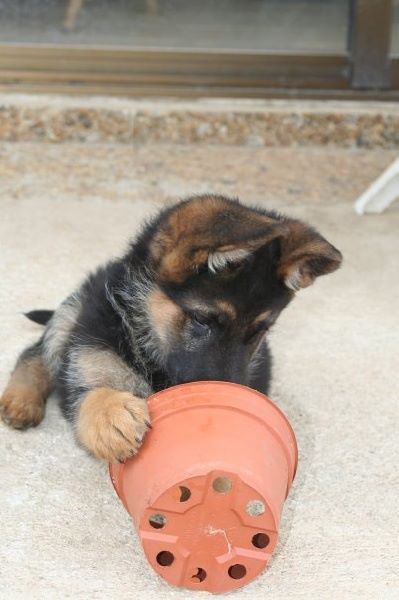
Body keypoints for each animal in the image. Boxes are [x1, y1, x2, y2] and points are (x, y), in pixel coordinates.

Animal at [0, 195, 344, 462]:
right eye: (203, 320)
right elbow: (91, 392)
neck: (153, 354)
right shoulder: (88, 354)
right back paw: (21, 399)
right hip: (73, 311)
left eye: (258, 332)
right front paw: (111, 415)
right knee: (35, 352)